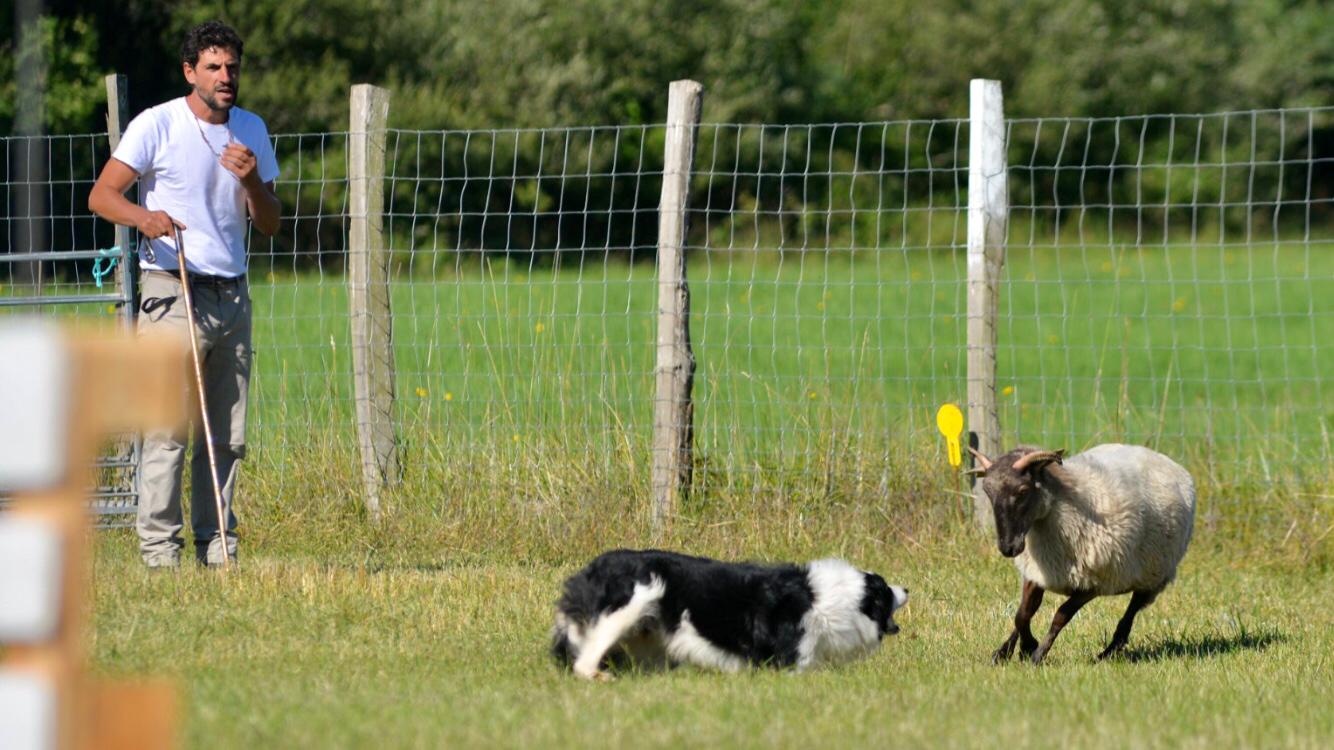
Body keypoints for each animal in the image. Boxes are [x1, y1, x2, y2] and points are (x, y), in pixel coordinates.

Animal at [971, 440, 1200, 661]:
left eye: (1022, 491)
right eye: (988, 493)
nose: (1007, 547)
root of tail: (1168, 461)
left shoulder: (1093, 585)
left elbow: (1061, 615)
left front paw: (1036, 653)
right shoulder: (1037, 574)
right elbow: (1022, 615)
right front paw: (1020, 648)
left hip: (1153, 575)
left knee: (1131, 612)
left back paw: (1108, 652)